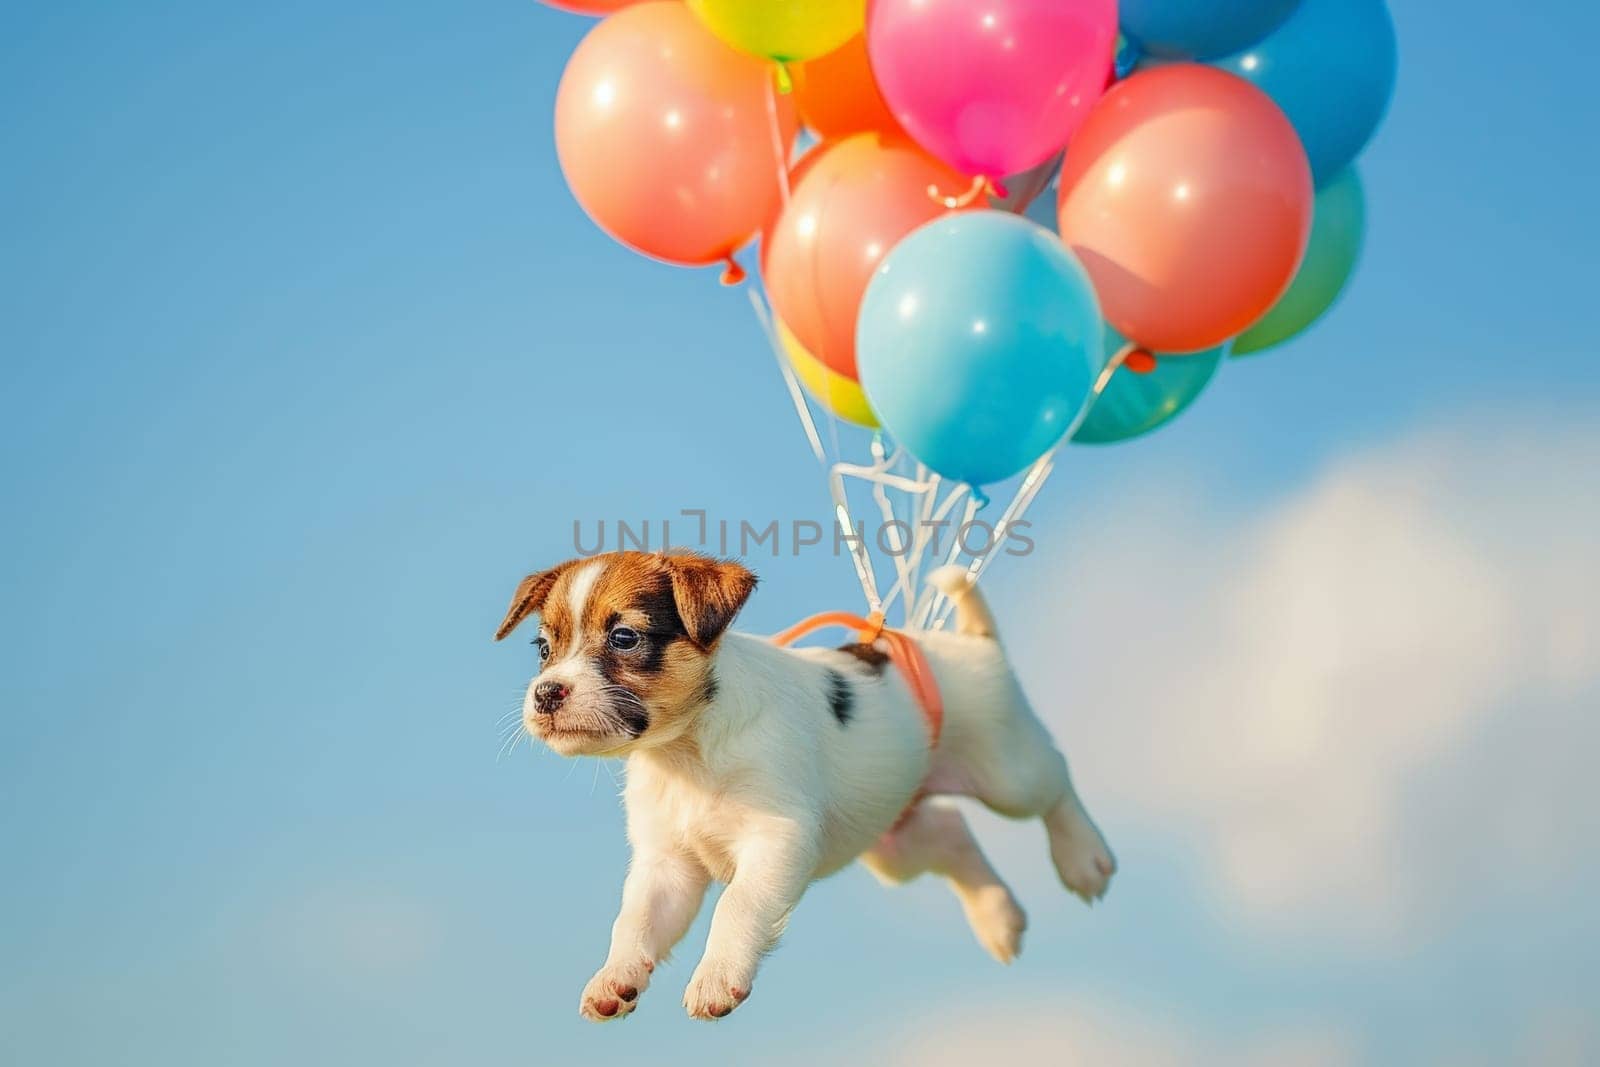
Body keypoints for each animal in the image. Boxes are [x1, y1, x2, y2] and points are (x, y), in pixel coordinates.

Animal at [496, 556, 1113, 1023]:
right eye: (543, 649)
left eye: (624, 637)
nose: (546, 693)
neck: (688, 749)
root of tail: (975, 642)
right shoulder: (665, 864)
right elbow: (635, 921)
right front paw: (615, 977)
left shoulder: (777, 839)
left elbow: (737, 905)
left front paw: (717, 977)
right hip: (895, 841)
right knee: (949, 830)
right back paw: (998, 918)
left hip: (1009, 775)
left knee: (1055, 779)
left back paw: (1084, 858)